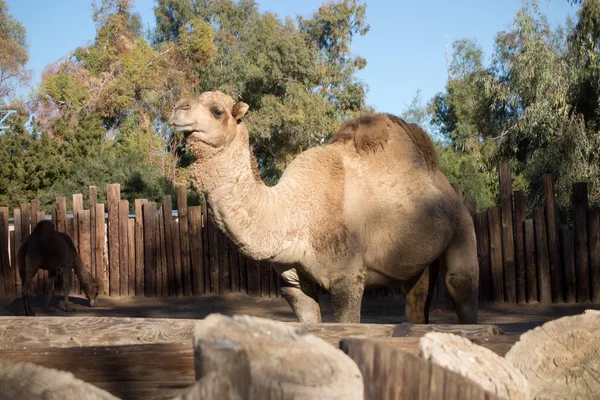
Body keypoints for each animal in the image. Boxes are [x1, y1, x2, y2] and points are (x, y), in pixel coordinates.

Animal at [169, 90, 478, 324]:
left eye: (217, 111)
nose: (177, 108)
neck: (295, 213)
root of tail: (444, 184)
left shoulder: (346, 277)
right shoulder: (292, 283)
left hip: (462, 224)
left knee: (460, 286)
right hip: (417, 257)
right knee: (415, 300)